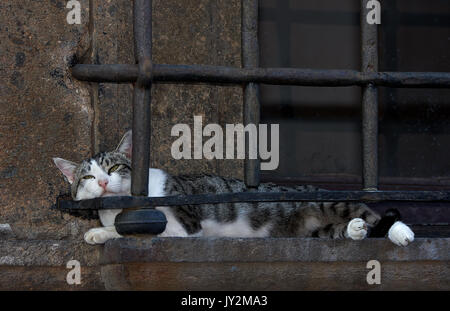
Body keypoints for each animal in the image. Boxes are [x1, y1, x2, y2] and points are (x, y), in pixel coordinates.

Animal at [53, 130, 414, 246]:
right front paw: (97, 232)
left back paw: (399, 232)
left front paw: (101, 232)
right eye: (87, 178)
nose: (102, 181)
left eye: (114, 168)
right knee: (343, 230)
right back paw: (353, 230)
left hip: (331, 202)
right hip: (310, 233)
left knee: (373, 215)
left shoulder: (184, 228)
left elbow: (134, 228)